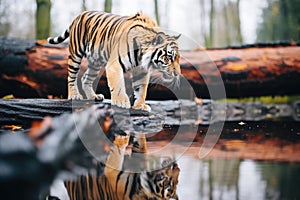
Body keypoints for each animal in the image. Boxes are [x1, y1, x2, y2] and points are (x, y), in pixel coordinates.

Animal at [47, 10, 180, 111]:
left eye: (178, 58)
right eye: (169, 57)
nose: (177, 74)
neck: (141, 55)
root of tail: (80, 14)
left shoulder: (142, 69)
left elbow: (141, 89)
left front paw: (140, 105)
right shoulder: (115, 65)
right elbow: (118, 84)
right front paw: (121, 102)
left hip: (96, 61)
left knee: (86, 77)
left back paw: (93, 96)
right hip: (76, 54)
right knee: (71, 76)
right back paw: (74, 95)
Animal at [48, 133, 180, 200]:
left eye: (168, 182)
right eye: (177, 171)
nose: (175, 165)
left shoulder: (113, 173)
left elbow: (117, 151)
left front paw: (123, 137)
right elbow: (142, 145)